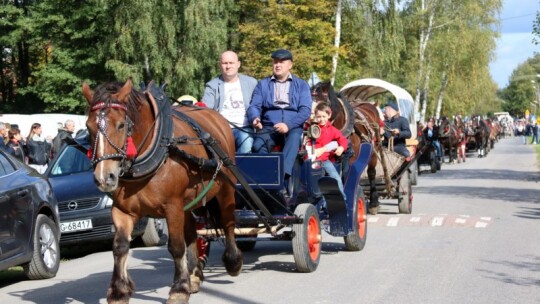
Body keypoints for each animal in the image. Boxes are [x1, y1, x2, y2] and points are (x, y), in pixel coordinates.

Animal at [81, 80, 242, 304]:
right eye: (89, 127)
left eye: (121, 125)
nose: (105, 178)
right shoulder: (122, 210)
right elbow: (119, 246)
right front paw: (118, 291)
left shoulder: (172, 206)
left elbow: (176, 246)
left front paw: (178, 289)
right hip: (188, 202)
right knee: (192, 233)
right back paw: (194, 274)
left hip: (225, 188)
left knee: (228, 222)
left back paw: (232, 261)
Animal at [310, 81, 382, 214]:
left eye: (322, 101)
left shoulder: (350, 159)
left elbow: (346, 177)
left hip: (374, 151)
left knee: (371, 173)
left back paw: (374, 202)